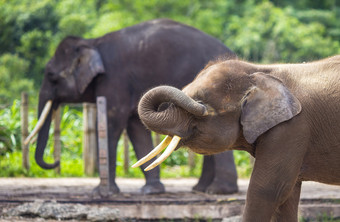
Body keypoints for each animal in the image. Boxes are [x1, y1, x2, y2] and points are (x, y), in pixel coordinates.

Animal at [25, 19, 239, 195]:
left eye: (51, 75)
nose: (56, 162)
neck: (92, 43)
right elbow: (135, 128)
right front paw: (151, 191)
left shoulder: (113, 80)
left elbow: (113, 122)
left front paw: (102, 193)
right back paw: (200, 189)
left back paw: (217, 191)